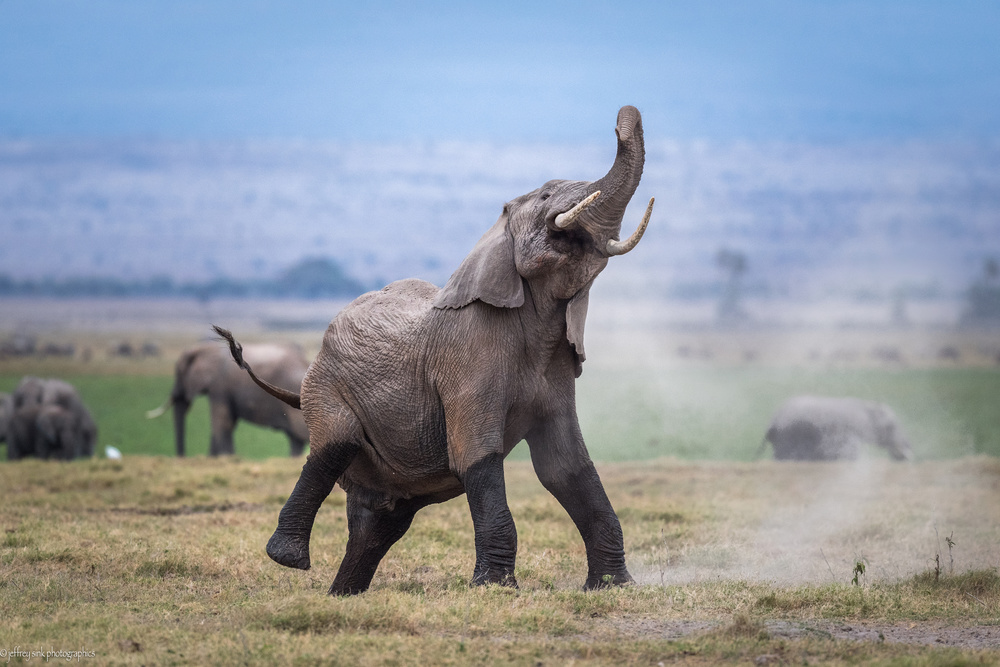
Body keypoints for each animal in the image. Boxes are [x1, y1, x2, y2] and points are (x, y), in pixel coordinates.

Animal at [147, 341, 310, 457]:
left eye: (179, 373)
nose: (182, 457)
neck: (205, 348)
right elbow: (227, 423)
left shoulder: (219, 386)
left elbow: (222, 422)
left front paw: (228, 457)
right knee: (295, 439)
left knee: (299, 437)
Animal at [215, 105, 655, 595]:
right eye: (544, 196)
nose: (622, 116)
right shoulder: (469, 361)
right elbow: (477, 458)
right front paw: (495, 589)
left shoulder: (556, 373)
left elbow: (566, 468)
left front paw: (615, 586)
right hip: (326, 386)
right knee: (333, 447)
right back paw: (289, 558)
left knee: (380, 522)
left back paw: (343, 595)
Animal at [760, 395, 914, 461]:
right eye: (891, 427)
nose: (906, 456)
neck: (867, 406)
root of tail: (772, 421)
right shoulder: (850, 431)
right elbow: (851, 451)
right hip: (788, 433)